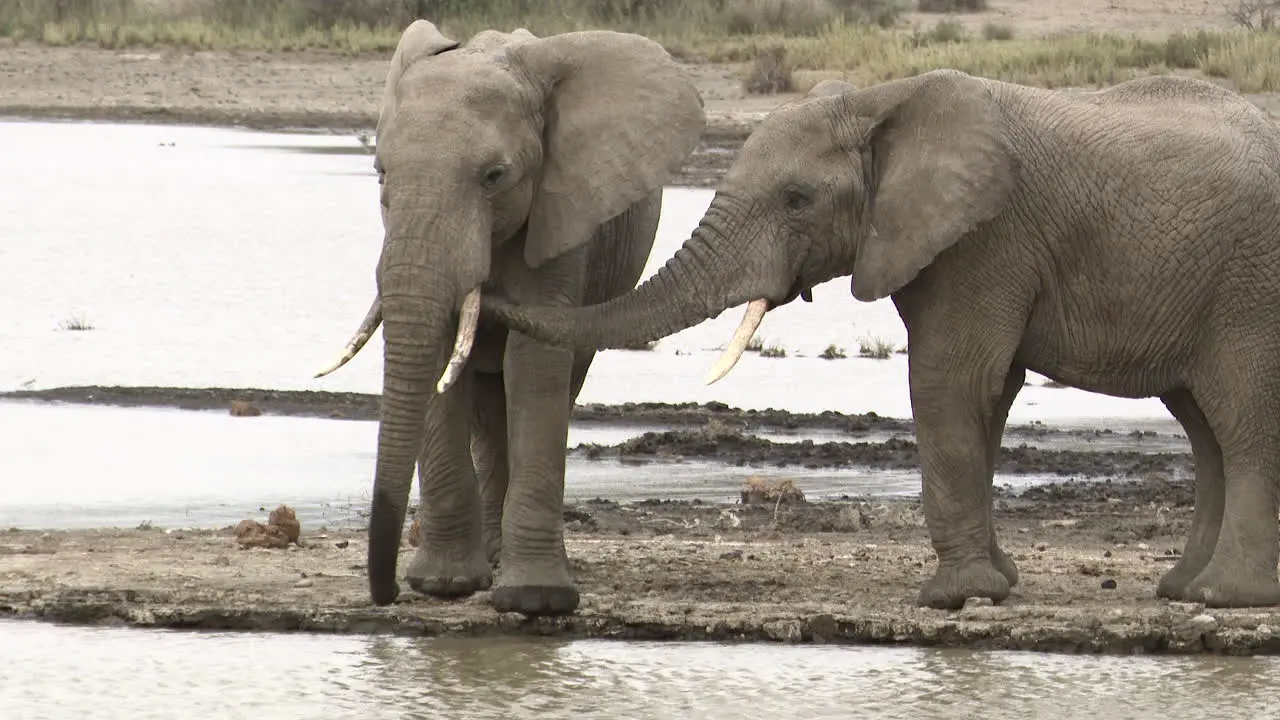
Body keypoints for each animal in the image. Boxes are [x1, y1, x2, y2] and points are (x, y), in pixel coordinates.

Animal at [314, 19, 706, 614]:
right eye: (381, 173)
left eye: (495, 176)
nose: (387, 594)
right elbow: (441, 353)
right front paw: (445, 585)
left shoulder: (562, 212)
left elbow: (535, 364)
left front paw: (533, 599)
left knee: (556, 382)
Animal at [478, 67, 1280, 607]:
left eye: (797, 199)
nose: (484, 293)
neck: (877, 101)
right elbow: (985, 394)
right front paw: (995, 584)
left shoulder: (985, 238)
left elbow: (951, 380)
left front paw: (954, 598)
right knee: (1204, 426)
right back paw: (1184, 590)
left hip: (1248, 288)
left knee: (1238, 421)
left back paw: (1224, 597)